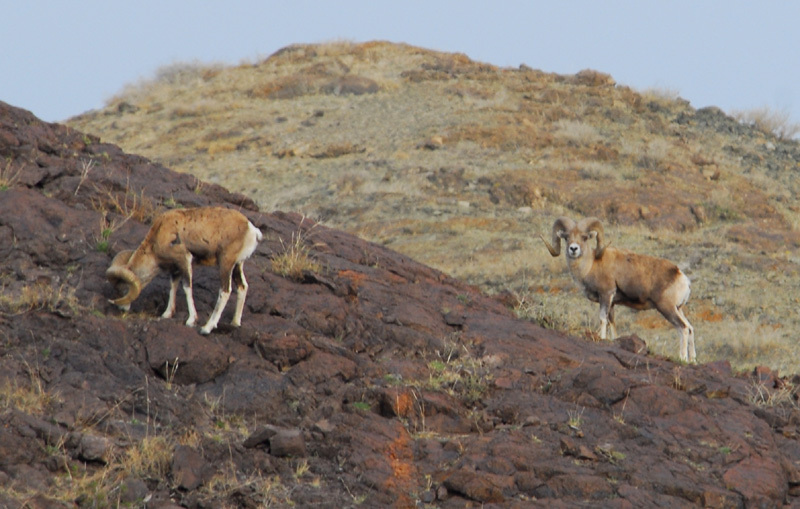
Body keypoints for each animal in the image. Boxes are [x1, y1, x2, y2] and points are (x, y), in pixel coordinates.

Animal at [105, 206, 262, 334]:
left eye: (123, 288)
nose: (122, 309)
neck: (160, 233)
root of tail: (251, 230)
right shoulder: (175, 268)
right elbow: (172, 287)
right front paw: (167, 314)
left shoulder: (185, 260)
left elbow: (187, 288)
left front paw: (191, 320)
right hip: (237, 266)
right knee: (242, 287)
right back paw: (235, 323)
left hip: (225, 264)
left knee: (225, 291)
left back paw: (206, 328)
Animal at [544, 216, 692, 364]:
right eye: (567, 237)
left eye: (584, 237)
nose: (573, 249)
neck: (591, 265)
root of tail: (681, 277)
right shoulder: (612, 303)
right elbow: (612, 324)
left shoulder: (606, 295)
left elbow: (603, 319)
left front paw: (602, 338)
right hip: (678, 309)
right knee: (690, 328)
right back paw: (693, 359)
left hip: (667, 308)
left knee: (683, 328)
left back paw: (683, 358)